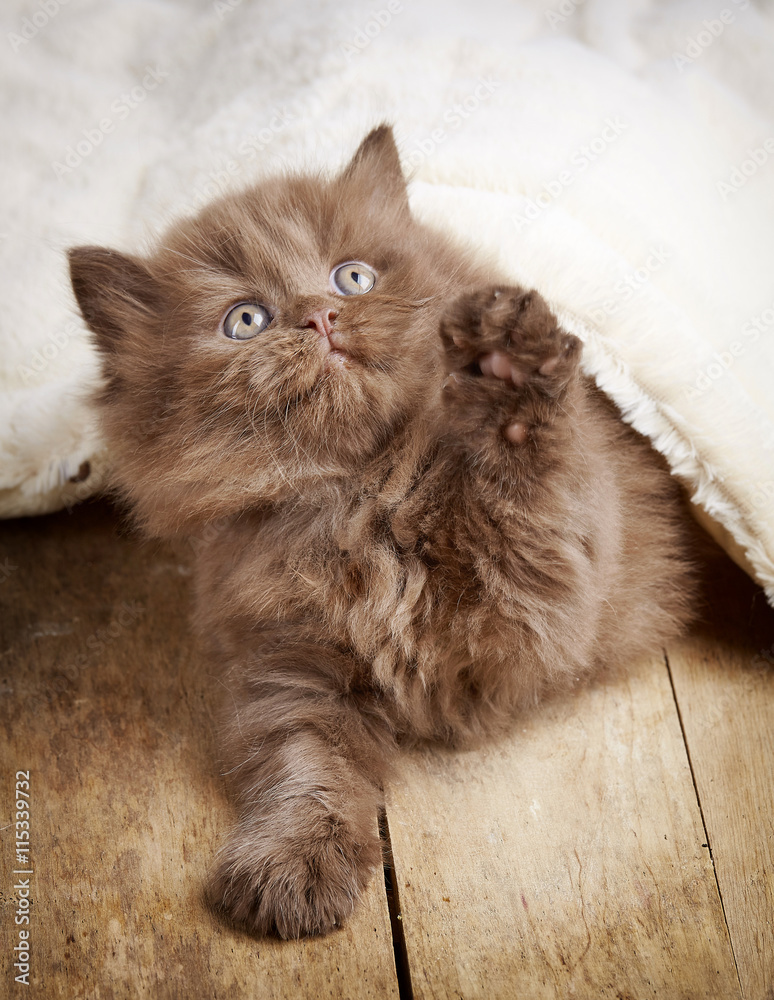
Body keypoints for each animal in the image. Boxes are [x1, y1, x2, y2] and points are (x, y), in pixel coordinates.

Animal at [68, 123, 696, 936]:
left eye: (353, 278)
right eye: (246, 320)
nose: (319, 316)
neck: (361, 491)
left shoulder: (535, 611)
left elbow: (524, 493)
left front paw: (508, 372)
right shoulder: (292, 662)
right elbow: (307, 765)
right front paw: (292, 864)